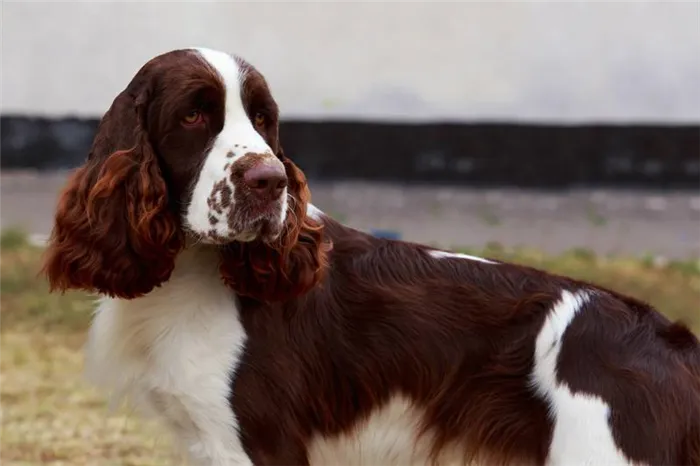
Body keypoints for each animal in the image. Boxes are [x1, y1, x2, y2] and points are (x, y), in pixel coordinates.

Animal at [43, 48, 700, 466]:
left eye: (264, 118)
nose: (270, 181)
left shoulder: (257, 443)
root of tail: (672, 346)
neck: (195, 270)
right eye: (193, 114)